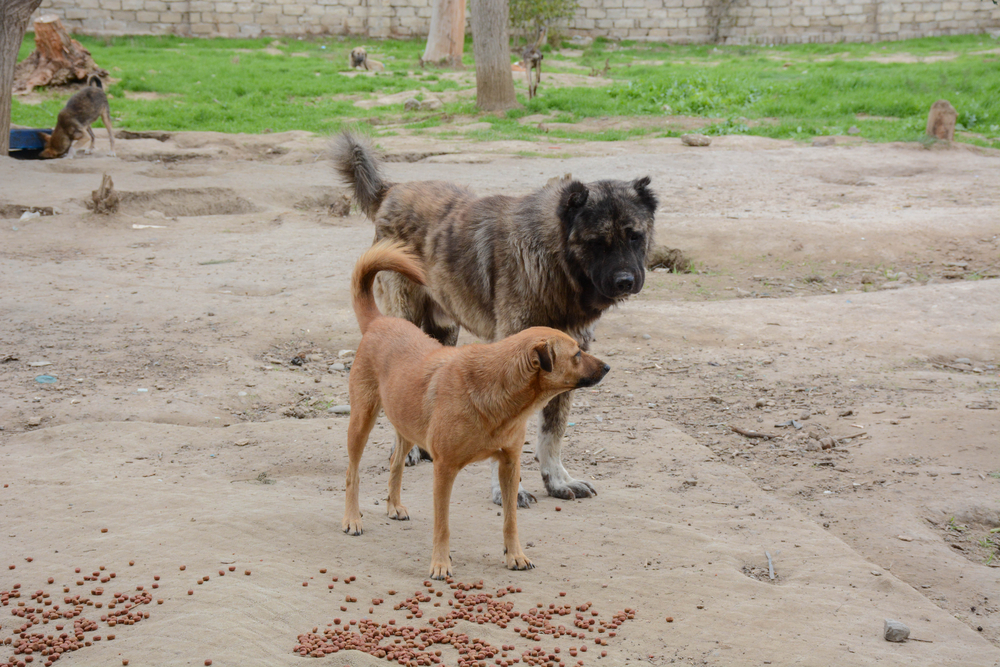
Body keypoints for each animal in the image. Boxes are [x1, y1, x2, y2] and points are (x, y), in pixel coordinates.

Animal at [332, 132, 660, 506]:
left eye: (634, 235)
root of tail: (393, 190)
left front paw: (557, 480)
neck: (554, 262)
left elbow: (553, 431)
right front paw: (508, 490)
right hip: (405, 319)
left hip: (443, 330)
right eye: (597, 242)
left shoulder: (571, 357)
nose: (625, 281)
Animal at [342, 241, 608, 580]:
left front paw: (515, 555)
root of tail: (379, 321)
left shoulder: (509, 465)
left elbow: (510, 520)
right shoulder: (444, 470)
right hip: (361, 420)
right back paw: (352, 519)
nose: (607, 367)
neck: (497, 391)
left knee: (395, 463)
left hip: (405, 423)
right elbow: (442, 525)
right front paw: (440, 563)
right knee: (353, 473)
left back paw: (394, 506)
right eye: (576, 355)